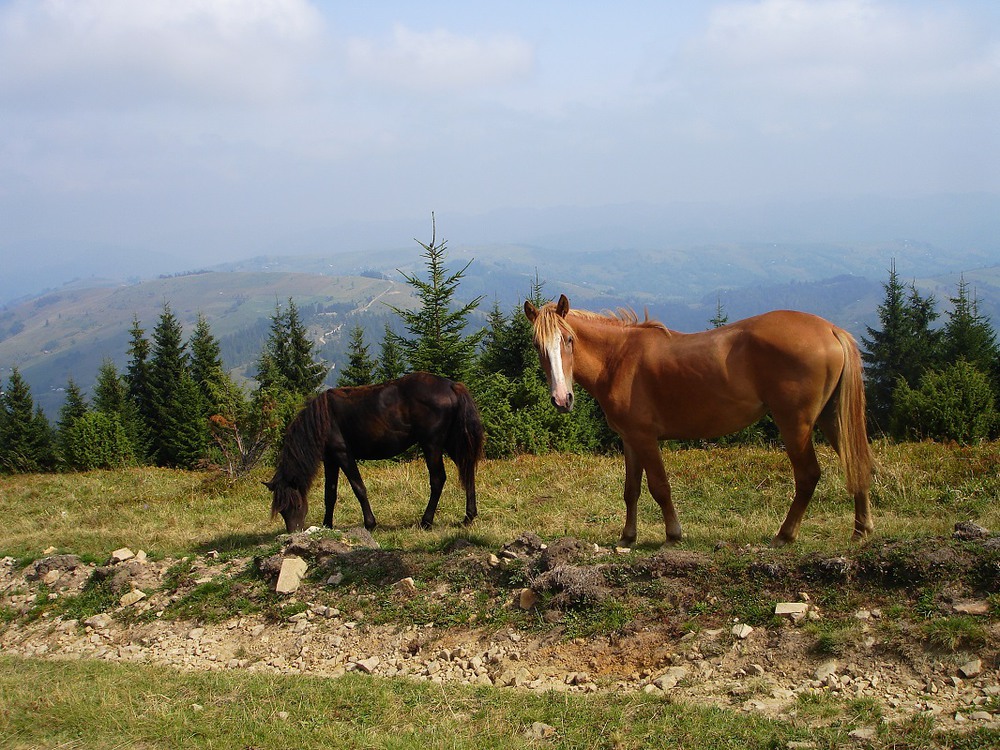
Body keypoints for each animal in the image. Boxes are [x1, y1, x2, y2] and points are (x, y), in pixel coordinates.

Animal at [266, 370, 484, 536]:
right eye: (282, 510)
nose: (293, 533)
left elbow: (358, 488)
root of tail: (451, 385)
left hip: (432, 445)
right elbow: (330, 493)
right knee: (467, 471)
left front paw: (370, 524)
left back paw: (426, 521)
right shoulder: (330, 460)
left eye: (295, 504)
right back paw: (468, 517)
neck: (322, 421)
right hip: (450, 443)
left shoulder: (343, 454)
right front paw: (327, 525)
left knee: (438, 479)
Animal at [528, 296, 872, 548]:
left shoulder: (645, 438)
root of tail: (830, 329)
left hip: (795, 424)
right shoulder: (630, 439)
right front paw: (627, 536)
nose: (562, 399)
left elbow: (659, 487)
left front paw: (673, 534)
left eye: (568, 340)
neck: (618, 359)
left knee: (808, 475)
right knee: (856, 463)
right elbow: (631, 490)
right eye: (537, 346)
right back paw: (861, 529)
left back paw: (785, 535)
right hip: (831, 419)